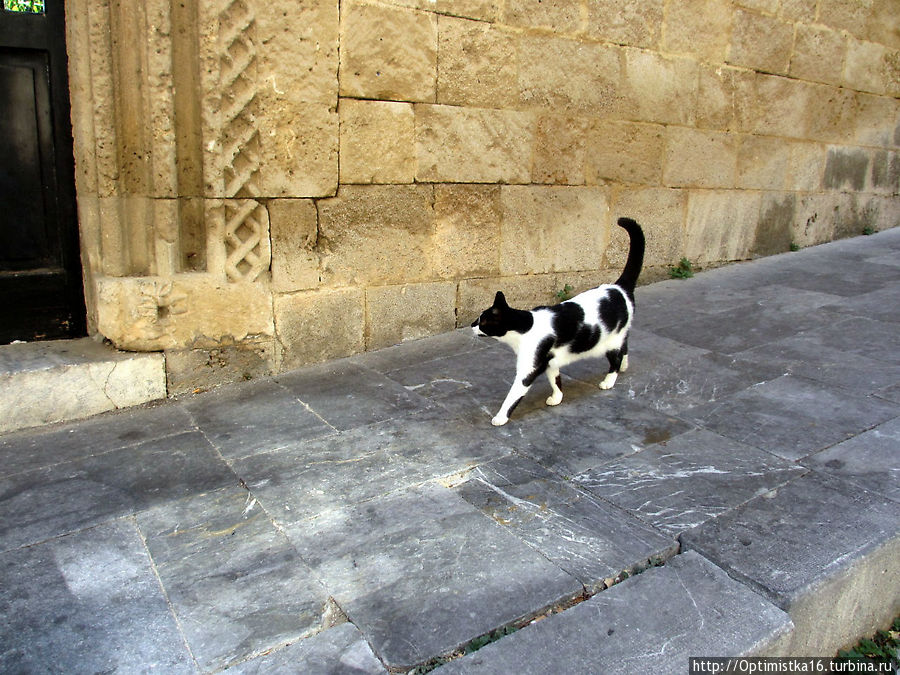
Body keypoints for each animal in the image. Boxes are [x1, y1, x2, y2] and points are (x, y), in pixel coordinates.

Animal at [474, 219, 644, 426]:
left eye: (482, 321)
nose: (472, 325)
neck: (525, 327)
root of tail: (619, 287)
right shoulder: (550, 363)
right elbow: (556, 380)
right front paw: (557, 398)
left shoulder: (529, 368)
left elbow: (513, 396)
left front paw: (500, 417)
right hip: (619, 335)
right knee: (625, 346)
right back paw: (624, 366)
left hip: (610, 343)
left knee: (616, 359)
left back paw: (609, 380)